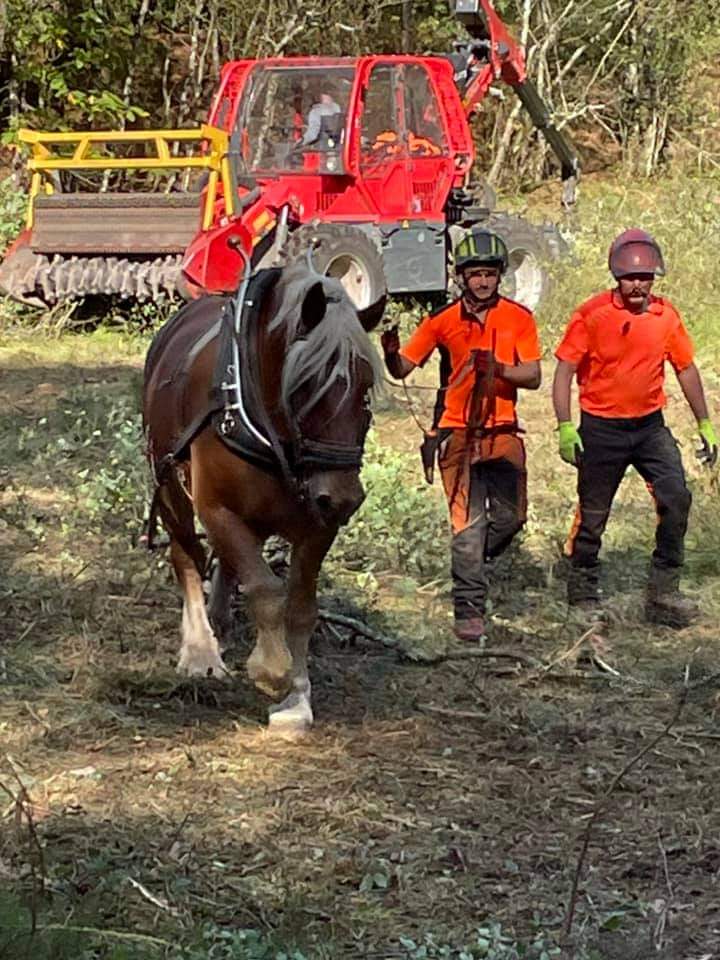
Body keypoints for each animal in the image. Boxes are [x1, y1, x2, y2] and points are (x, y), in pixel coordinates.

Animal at [142, 258, 385, 734]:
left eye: (366, 388)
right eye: (307, 384)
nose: (345, 498)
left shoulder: (318, 523)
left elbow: (301, 608)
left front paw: (298, 697)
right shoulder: (216, 507)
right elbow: (266, 589)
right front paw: (272, 671)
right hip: (169, 485)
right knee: (186, 555)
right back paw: (200, 647)